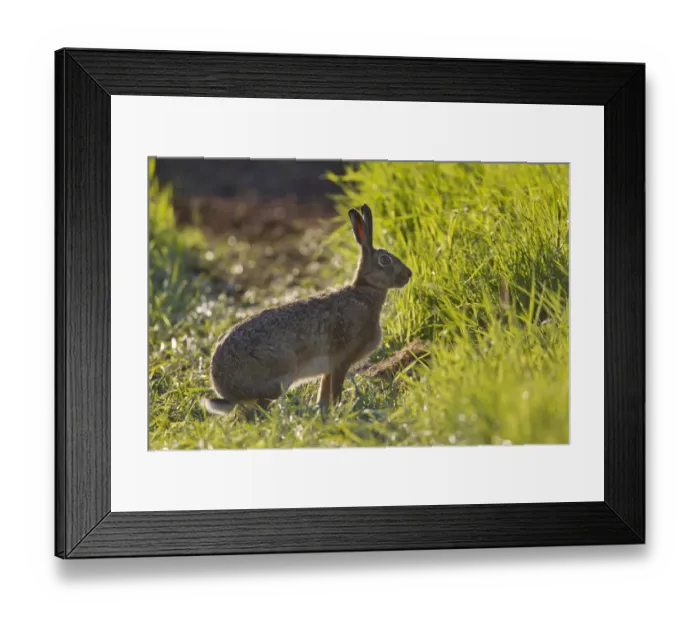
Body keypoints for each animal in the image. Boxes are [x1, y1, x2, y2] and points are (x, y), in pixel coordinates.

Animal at [201, 203, 413, 416]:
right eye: (385, 260)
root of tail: (224, 387)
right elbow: (336, 390)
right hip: (280, 376)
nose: (409, 274)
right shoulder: (342, 360)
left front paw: (324, 411)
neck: (364, 291)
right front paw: (338, 411)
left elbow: (324, 391)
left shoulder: (329, 367)